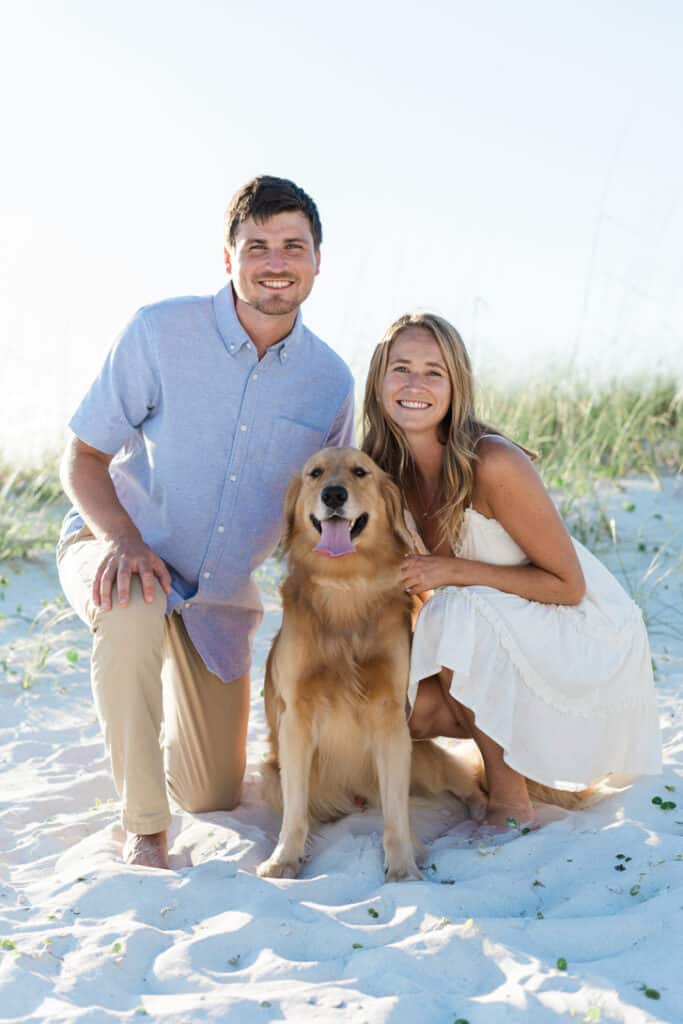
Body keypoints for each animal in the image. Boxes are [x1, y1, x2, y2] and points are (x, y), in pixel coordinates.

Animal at [259, 446, 489, 880]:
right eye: (315, 473)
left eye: (360, 472)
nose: (333, 494)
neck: (346, 585)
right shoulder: (296, 717)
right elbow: (295, 809)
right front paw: (283, 859)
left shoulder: (391, 716)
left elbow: (396, 813)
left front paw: (402, 867)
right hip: (271, 774)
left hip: (425, 760)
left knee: (466, 780)